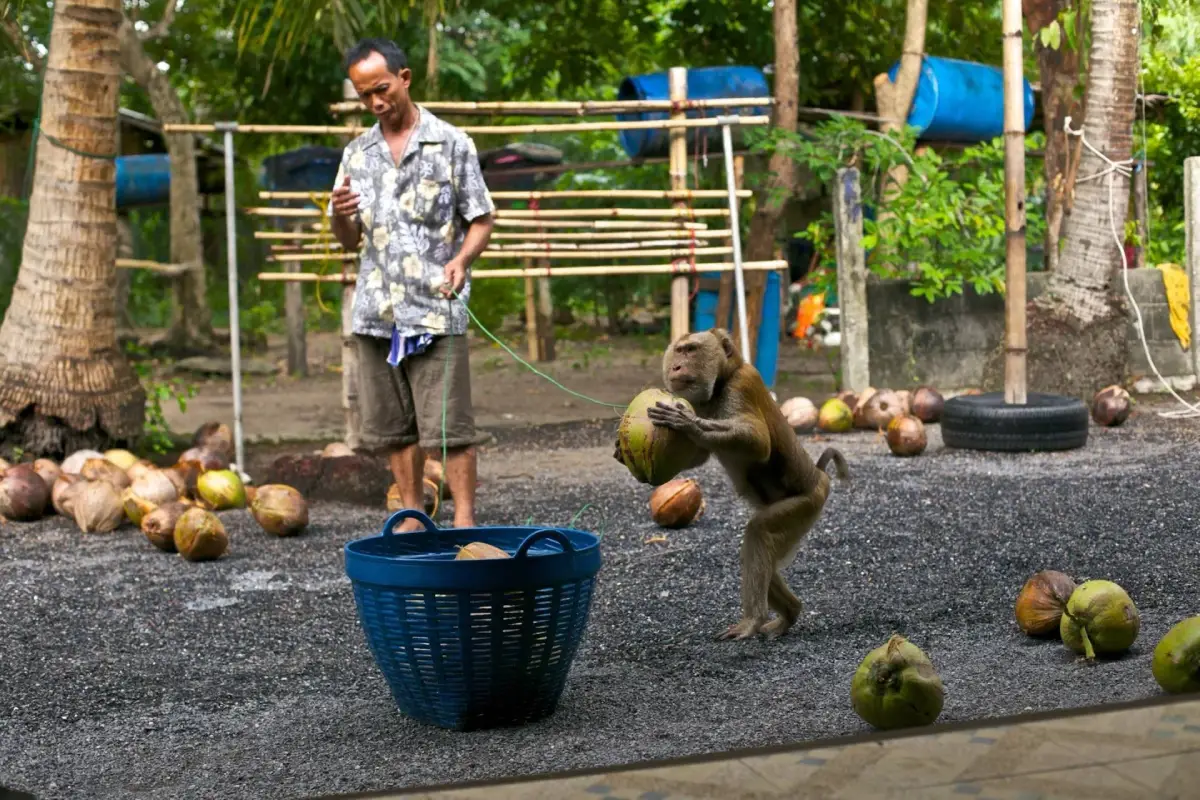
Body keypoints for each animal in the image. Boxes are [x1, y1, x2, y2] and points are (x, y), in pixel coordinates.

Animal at [622, 327, 848, 641]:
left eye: (690, 350)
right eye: (678, 351)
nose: (676, 367)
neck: (721, 382)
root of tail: (819, 476)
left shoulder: (741, 387)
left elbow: (759, 443)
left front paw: (690, 424)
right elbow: (699, 456)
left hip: (807, 504)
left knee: (759, 533)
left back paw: (753, 620)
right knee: (766, 554)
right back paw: (790, 613)